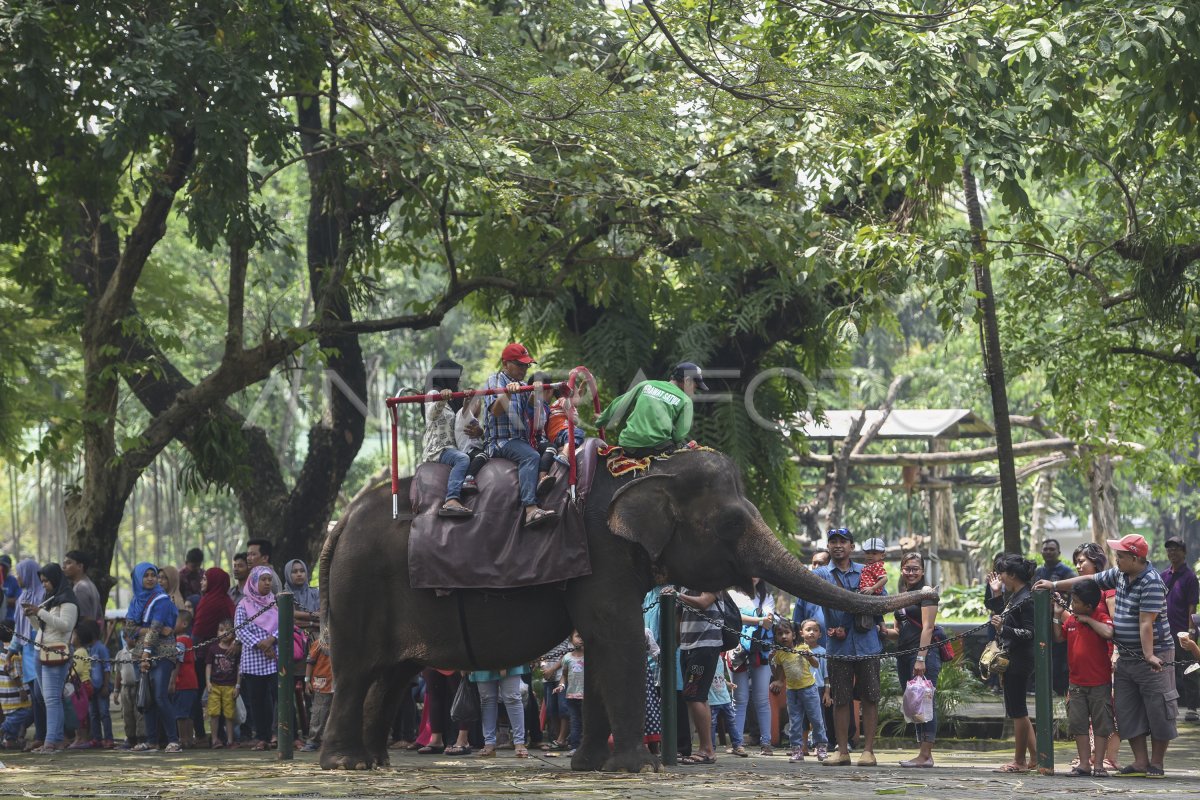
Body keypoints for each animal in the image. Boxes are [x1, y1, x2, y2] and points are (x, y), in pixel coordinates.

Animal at [319, 450, 936, 767]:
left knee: (391, 676)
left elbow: (599, 645)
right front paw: (634, 766)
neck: (642, 469)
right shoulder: (601, 552)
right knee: (358, 672)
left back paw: (374, 762)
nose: (930, 595)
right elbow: (615, 639)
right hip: (360, 586)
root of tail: (340, 521)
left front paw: (590, 766)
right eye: (731, 523)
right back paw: (343, 764)